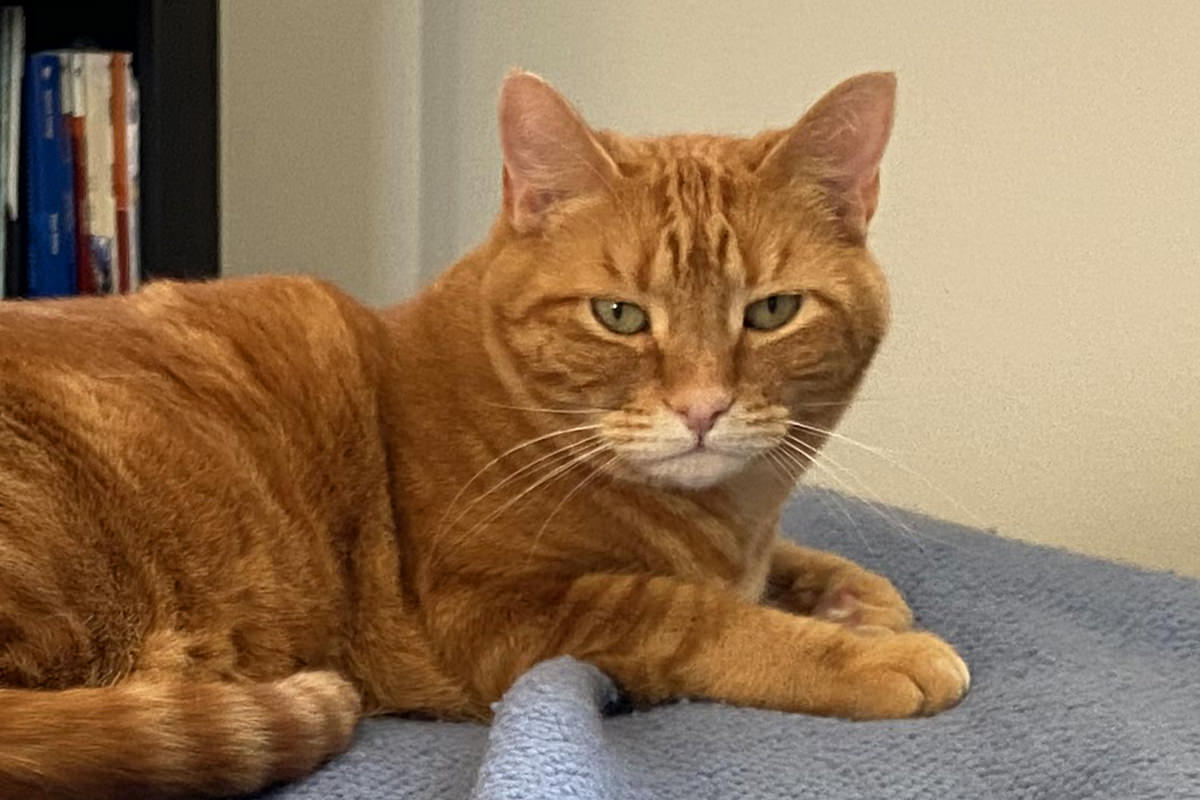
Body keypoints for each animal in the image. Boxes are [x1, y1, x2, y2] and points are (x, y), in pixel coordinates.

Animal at [0, 71, 964, 796]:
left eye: (771, 312)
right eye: (619, 315)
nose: (702, 409)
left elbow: (783, 567)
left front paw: (850, 594)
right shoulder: (503, 611)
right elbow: (694, 615)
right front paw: (864, 653)